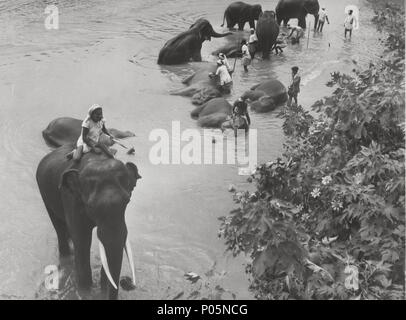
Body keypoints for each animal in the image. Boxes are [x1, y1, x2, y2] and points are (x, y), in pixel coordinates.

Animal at [35, 145, 143, 300]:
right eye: (90, 206)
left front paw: (102, 288)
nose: (127, 282)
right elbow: (82, 241)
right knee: (59, 227)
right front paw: (85, 291)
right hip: (45, 194)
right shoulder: (72, 199)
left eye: (127, 201)